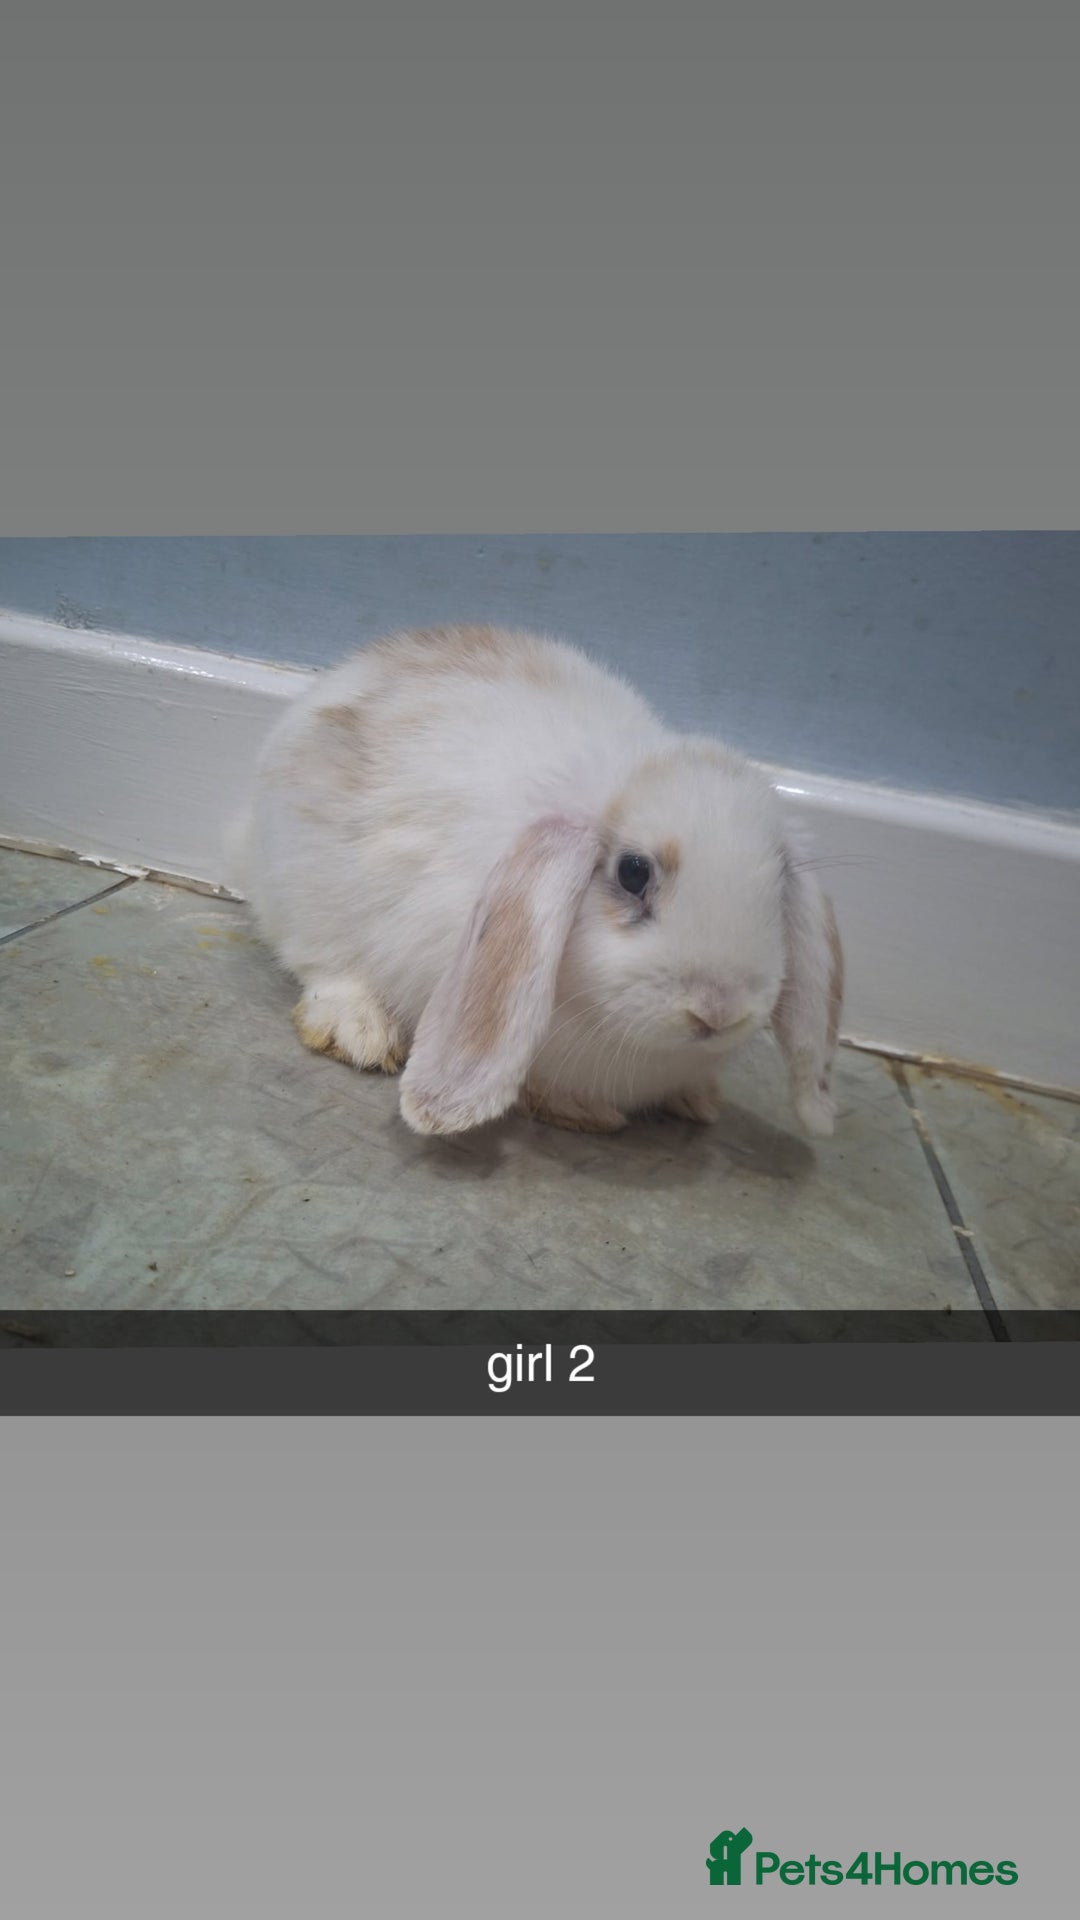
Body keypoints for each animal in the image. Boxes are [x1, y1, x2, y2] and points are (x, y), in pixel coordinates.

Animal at [233, 623, 844, 1140]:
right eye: (633, 872)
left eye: (779, 882)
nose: (719, 1011)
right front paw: (584, 1112)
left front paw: (698, 1099)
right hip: (304, 888)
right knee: (324, 965)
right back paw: (360, 1032)